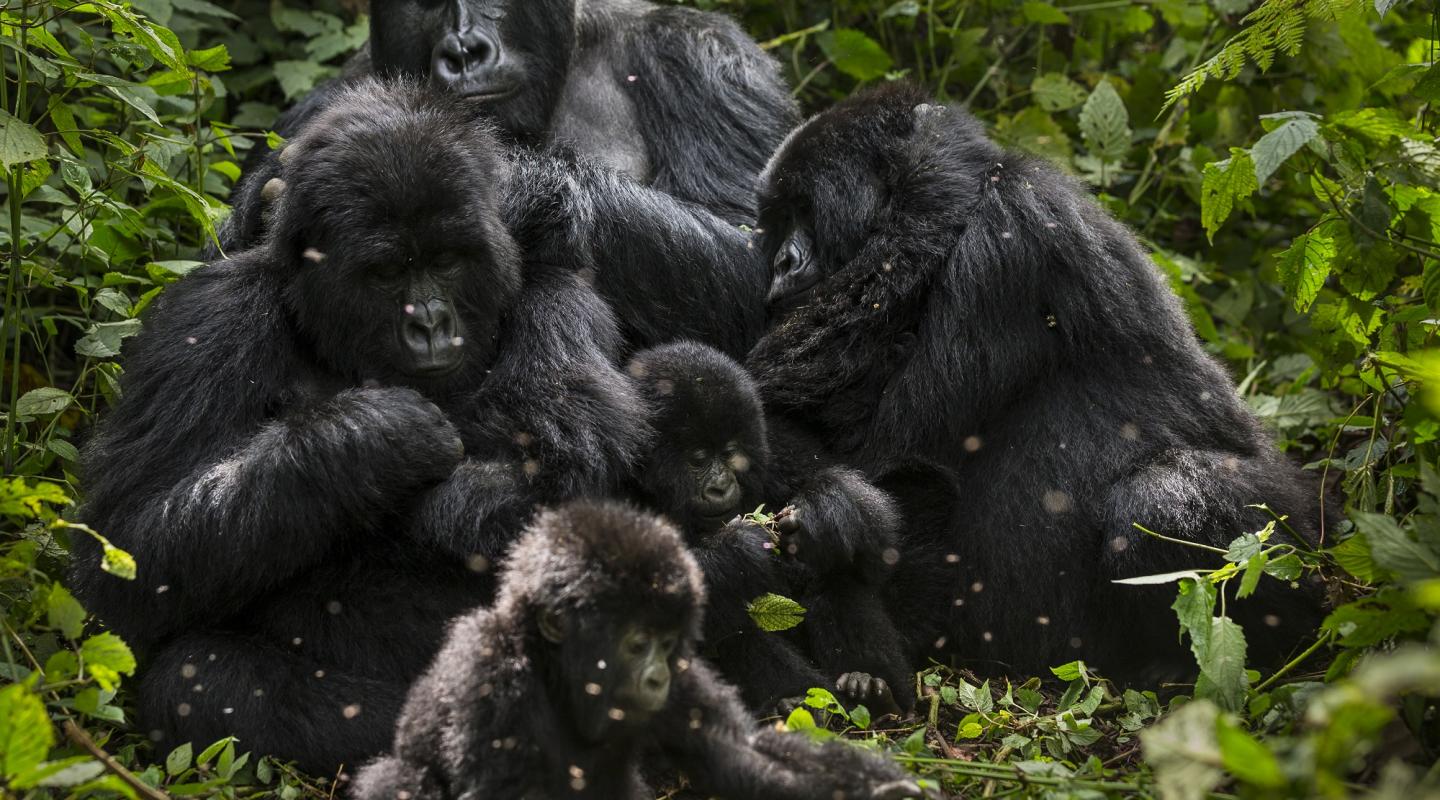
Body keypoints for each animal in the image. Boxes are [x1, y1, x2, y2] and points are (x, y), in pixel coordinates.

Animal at [70, 79, 645, 776]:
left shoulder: (562, 298)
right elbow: (123, 557)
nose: (429, 323)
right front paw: (369, 440)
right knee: (198, 676)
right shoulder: (212, 318)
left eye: (448, 260)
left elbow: (573, 484)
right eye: (388, 273)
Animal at [348, 500, 921, 800]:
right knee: (400, 777)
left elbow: (739, 754)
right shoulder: (490, 675)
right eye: (635, 644)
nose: (655, 678)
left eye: (667, 646)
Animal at [627, 341, 910, 716]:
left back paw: (873, 690)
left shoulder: (776, 445)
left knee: (837, 571)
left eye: (731, 453)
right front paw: (737, 553)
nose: (720, 487)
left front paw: (828, 511)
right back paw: (798, 703)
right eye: (698, 459)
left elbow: (879, 552)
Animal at [754, 85, 1324, 687]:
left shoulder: (1012, 232)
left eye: (803, 208)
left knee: (1159, 501)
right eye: (777, 219)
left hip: (1293, 547)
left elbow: (889, 447)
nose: (781, 264)